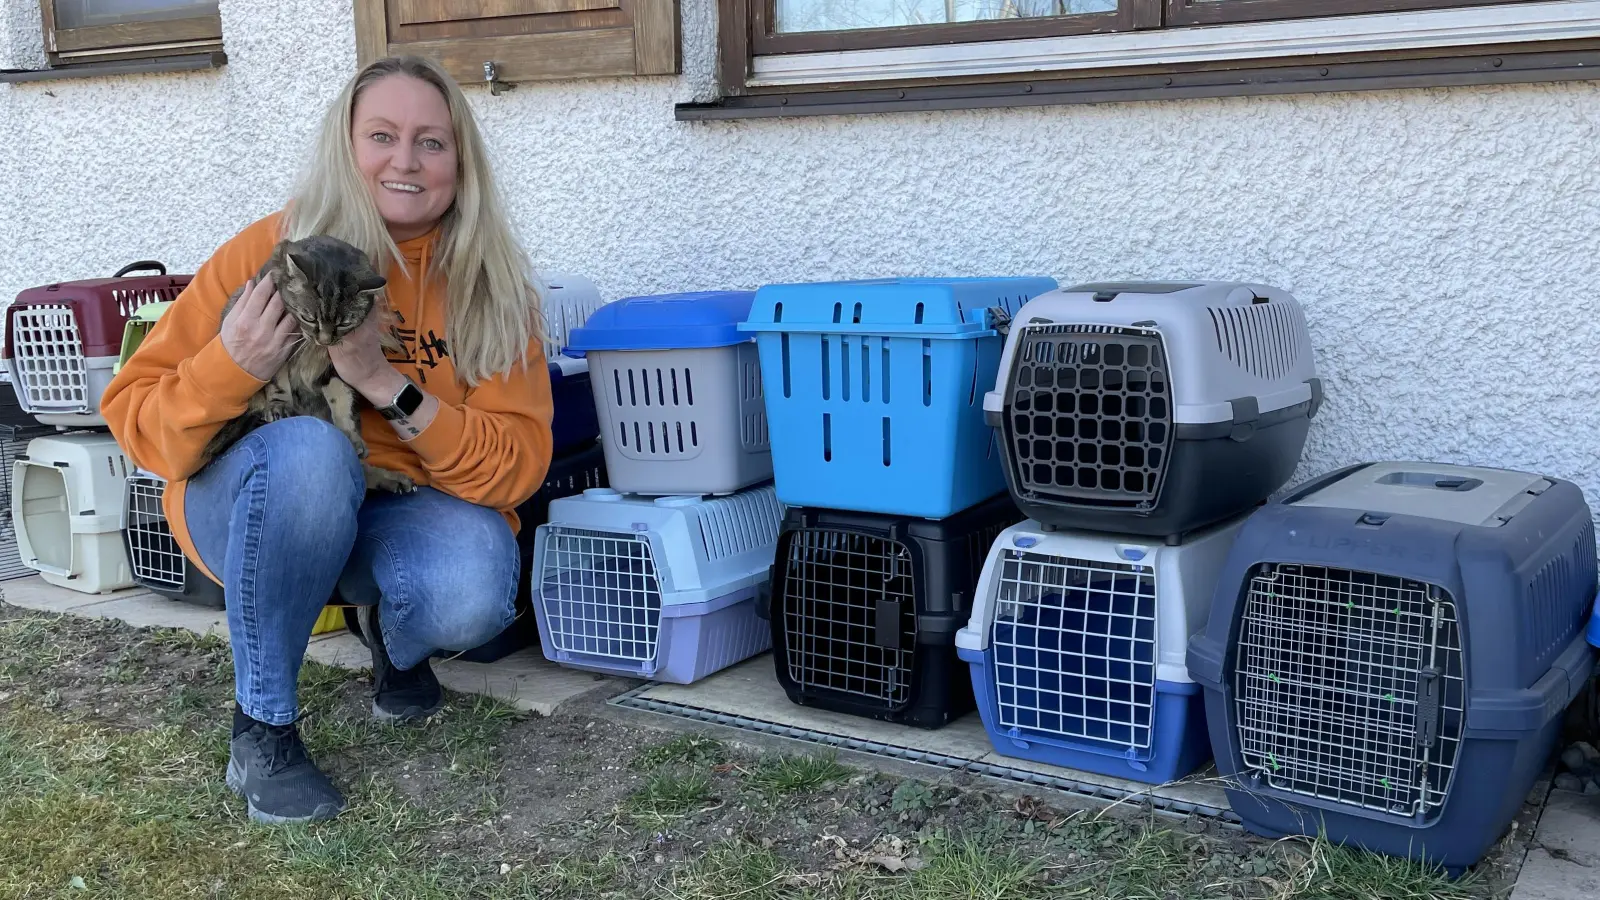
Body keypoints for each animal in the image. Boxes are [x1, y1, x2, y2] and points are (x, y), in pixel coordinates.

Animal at [199, 235, 419, 490]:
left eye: (345, 324)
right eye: (309, 318)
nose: (325, 340)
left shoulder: (336, 368)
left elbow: (342, 398)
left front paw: (350, 434)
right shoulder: (276, 350)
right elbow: (278, 383)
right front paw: (279, 404)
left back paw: (390, 478)